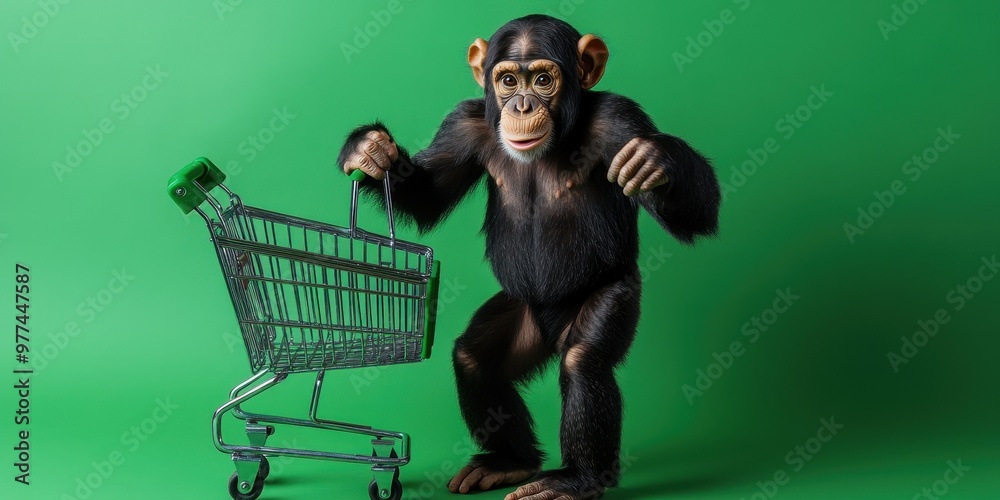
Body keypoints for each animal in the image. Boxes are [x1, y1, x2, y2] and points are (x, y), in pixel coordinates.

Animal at [337, 14, 721, 500]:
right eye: (507, 81)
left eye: (542, 80)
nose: (521, 106)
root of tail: (551, 330)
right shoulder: (461, 126)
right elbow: (429, 193)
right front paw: (368, 150)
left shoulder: (619, 119)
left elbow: (698, 210)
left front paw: (658, 159)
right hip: (521, 313)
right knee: (473, 358)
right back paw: (509, 462)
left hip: (611, 294)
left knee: (583, 362)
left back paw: (577, 479)